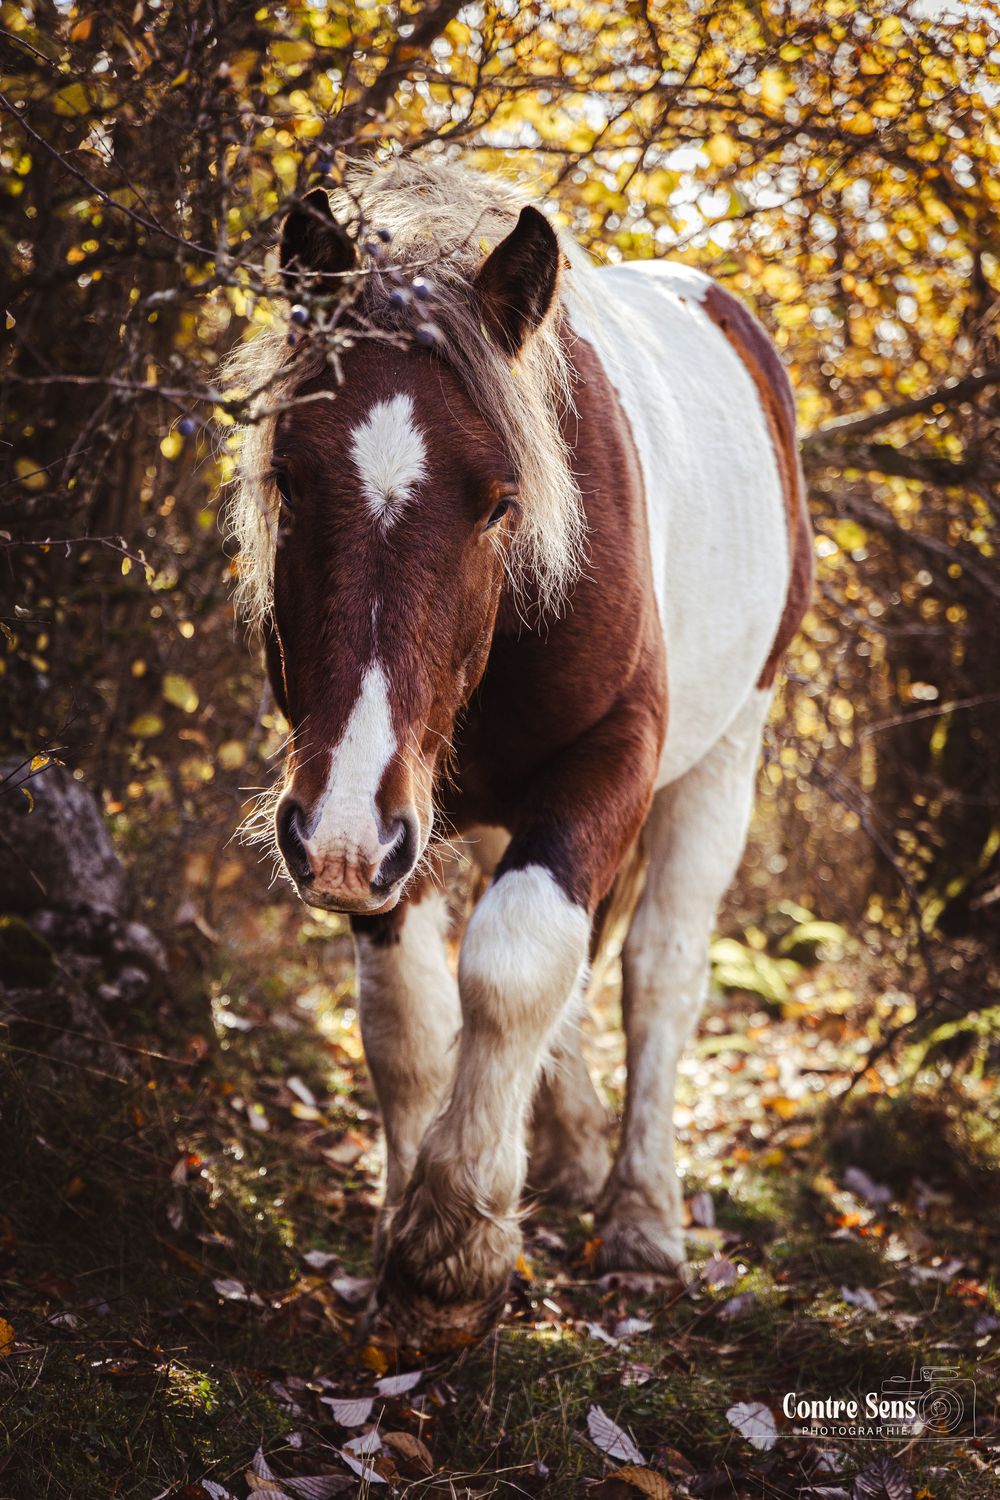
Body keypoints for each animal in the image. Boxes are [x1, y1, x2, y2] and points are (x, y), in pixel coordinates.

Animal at [226, 157, 813, 1350]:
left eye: (501, 502)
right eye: (290, 479)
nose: (338, 838)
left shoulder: (603, 765)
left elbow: (516, 962)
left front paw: (453, 1252)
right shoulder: (377, 821)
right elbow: (407, 1013)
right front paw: (402, 1232)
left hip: (723, 757)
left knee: (655, 972)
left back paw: (640, 1216)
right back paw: (574, 1152)